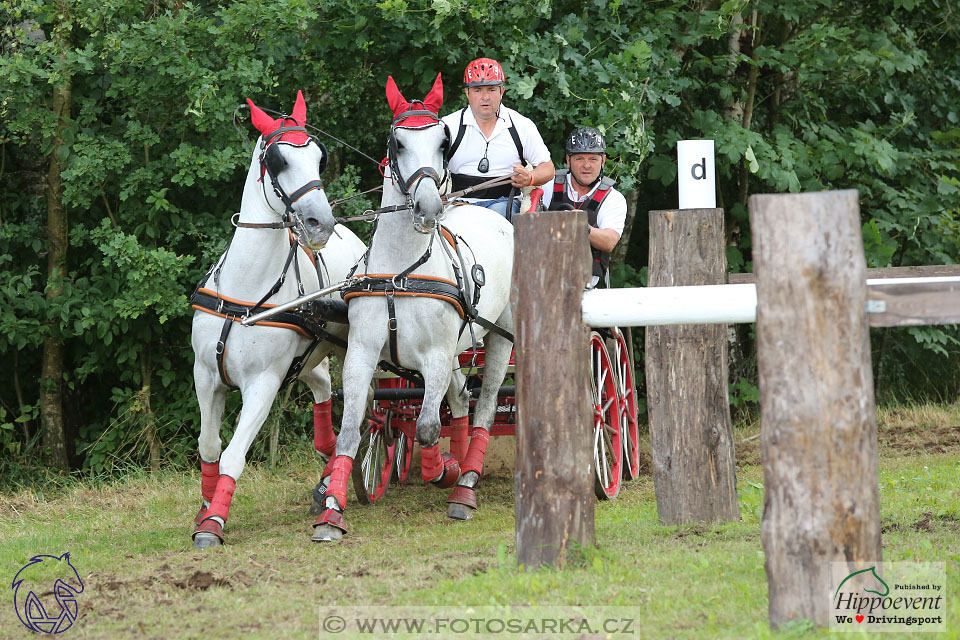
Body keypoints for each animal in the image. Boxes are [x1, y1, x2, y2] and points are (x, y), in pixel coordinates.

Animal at [189, 90, 366, 552]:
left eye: (320, 158)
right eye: (279, 160)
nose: (322, 223)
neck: (246, 295)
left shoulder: (263, 384)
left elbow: (233, 454)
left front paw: (214, 520)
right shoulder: (205, 376)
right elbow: (209, 446)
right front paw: (204, 505)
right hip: (310, 355)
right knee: (322, 391)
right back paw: (325, 475)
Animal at [312, 72, 512, 544]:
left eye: (442, 142)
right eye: (398, 142)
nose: (428, 208)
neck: (402, 271)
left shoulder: (436, 356)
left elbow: (426, 428)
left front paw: (445, 471)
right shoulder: (362, 355)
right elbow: (351, 430)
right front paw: (332, 512)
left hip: (500, 335)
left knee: (485, 406)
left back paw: (466, 484)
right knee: (460, 399)